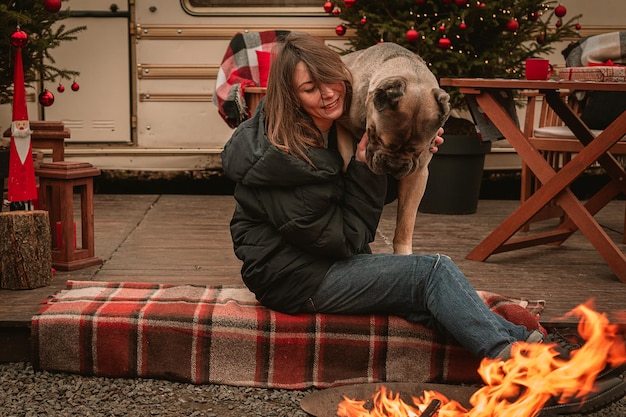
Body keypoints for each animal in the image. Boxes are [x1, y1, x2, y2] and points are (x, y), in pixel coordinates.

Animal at [336, 44, 448, 255]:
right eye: (376, 137)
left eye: (417, 151)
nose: (394, 165)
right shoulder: (341, 123)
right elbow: (346, 156)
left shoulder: (417, 174)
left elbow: (406, 220)